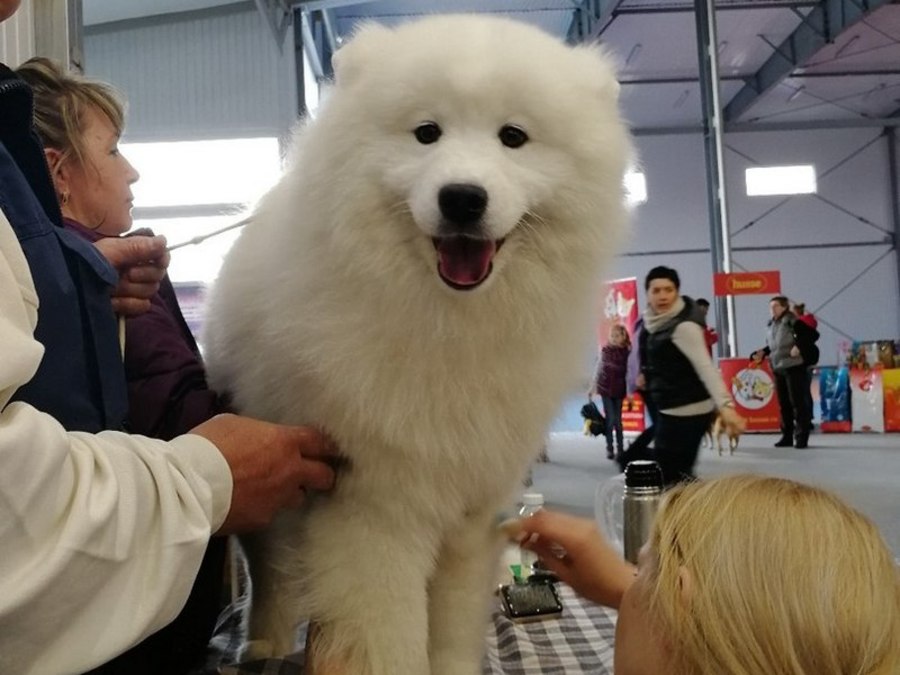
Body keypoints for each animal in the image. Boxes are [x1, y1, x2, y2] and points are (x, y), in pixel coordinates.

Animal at [203, 15, 628, 675]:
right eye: (427, 133)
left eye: (513, 137)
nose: (463, 197)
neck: (448, 322)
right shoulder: (374, 509)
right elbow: (389, 635)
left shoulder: (470, 512)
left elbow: (449, 627)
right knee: (270, 572)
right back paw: (264, 643)